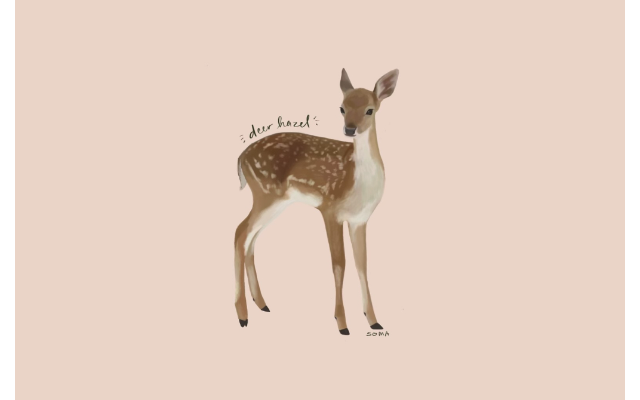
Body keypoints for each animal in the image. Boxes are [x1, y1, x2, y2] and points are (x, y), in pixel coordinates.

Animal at [234, 68, 399, 335]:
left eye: (370, 110)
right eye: (341, 108)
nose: (350, 130)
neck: (357, 181)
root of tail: (241, 157)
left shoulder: (360, 220)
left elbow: (362, 264)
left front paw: (373, 320)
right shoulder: (330, 209)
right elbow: (339, 264)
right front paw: (342, 324)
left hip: (276, 201)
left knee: (252, 239)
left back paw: (262, 304)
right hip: (265, 193)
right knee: (240, 232)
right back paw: (243, 316)